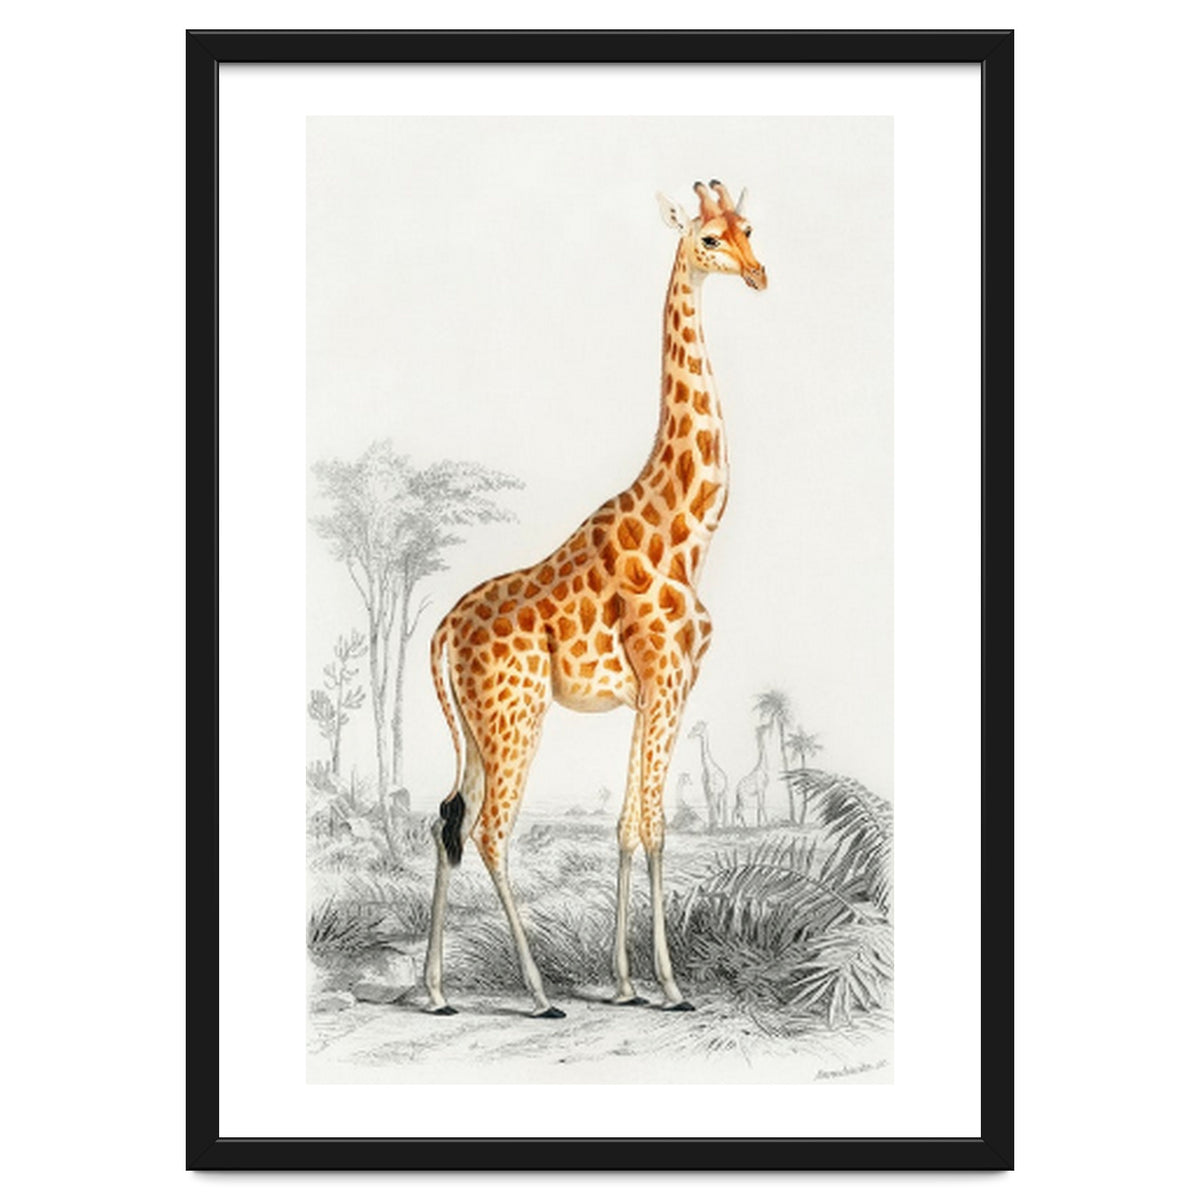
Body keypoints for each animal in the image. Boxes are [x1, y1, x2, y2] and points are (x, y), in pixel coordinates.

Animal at [424, 180, 766, 1017]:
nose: (758, 274)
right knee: (489, 831)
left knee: (446, 818)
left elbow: (628, 824)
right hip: (515, 717)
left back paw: (436, 991)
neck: (688, 531)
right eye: (708, 239)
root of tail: (441, 631)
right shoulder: (668, 682)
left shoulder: (654, 693)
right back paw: (540, 993)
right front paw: (670, 986)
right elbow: (656, 825)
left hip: (478, 727)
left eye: (749, 229)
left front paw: (626, 982)